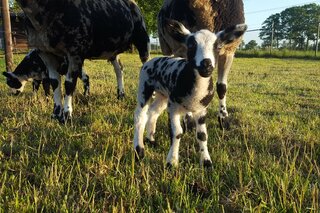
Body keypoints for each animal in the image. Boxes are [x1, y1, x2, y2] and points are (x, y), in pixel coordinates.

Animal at [17, 0, 151, 122]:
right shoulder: (44, 52)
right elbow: (55, 83)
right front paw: (55, 114)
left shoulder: (75, 51)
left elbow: (69, 84)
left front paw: (67, 115)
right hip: (113, 51)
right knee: (119, 69)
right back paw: (120, 95)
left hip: (142, 38)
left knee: (146, 64)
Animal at [134, 19, 246, 167]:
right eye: (191, 45)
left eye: (218, 47)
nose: (206, 65)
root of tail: (152, 60)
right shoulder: (173, 108)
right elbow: (177, 133)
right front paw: (172, 162)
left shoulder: (202, 110)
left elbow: (202, 136)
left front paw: (206, 162)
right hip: (144, 86)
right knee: (140, 116)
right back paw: (139, 151)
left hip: (163, 95)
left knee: (153, 112)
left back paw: (150, 139)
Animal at [158, 0, 245, 128]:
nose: (206, 66)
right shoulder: (182, 48)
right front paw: (188, 121)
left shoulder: (229, 50)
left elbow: (222, 87)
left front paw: (223, 118)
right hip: (167, 47)